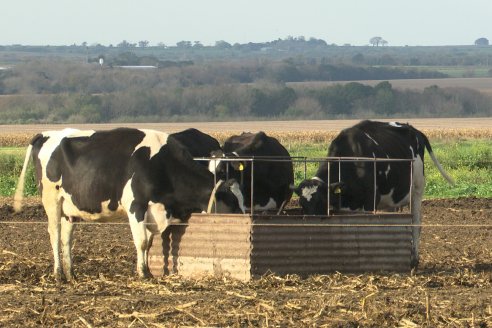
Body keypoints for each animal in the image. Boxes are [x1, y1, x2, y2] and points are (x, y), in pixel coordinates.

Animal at [14, 128, 245, 282]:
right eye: (232, 202)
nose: (246, 217)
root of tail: (46, 133)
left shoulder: (154, 211)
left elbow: (150, 243)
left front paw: (147, 270)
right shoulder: (136, 206)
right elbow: (141, 242)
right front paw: (143, 274)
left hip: (69, 207)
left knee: (66, 238)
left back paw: (72, 274)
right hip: (51, 200)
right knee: (54, 234)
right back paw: (59, 275)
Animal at [292, 120, 454, 266]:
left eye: (321, 202)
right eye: (302, 204)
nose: (310, 226)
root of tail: (413, 129)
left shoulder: (371, 199)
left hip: (417, 190)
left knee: (416, 224)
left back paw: (414, 259)